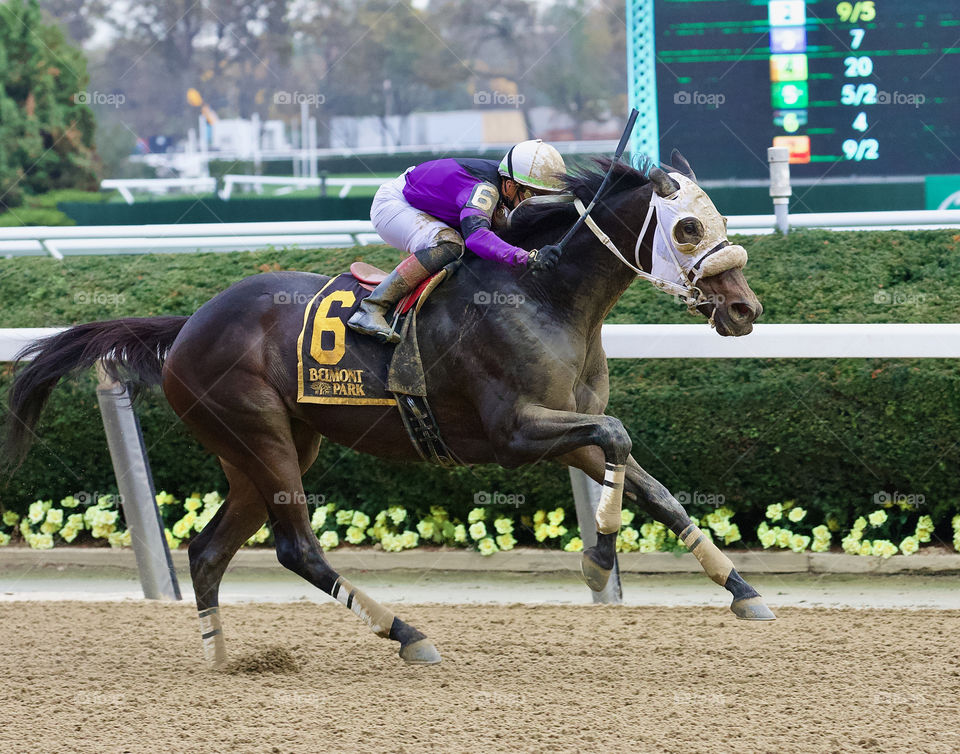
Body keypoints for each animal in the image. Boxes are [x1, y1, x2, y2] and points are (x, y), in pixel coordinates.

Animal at [3, 150, 772, 668]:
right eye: (687, 228)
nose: (745, 310)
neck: (547, 296)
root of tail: (187, 324)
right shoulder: (516, 433)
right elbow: (616, 438)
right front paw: (598, 557)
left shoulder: (563, 427)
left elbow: (647, 481)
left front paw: (741, 590)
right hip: (262, 437)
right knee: (296, 547)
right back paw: (407, 634)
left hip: (264, 449)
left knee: (209, 549)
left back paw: (220, 657)